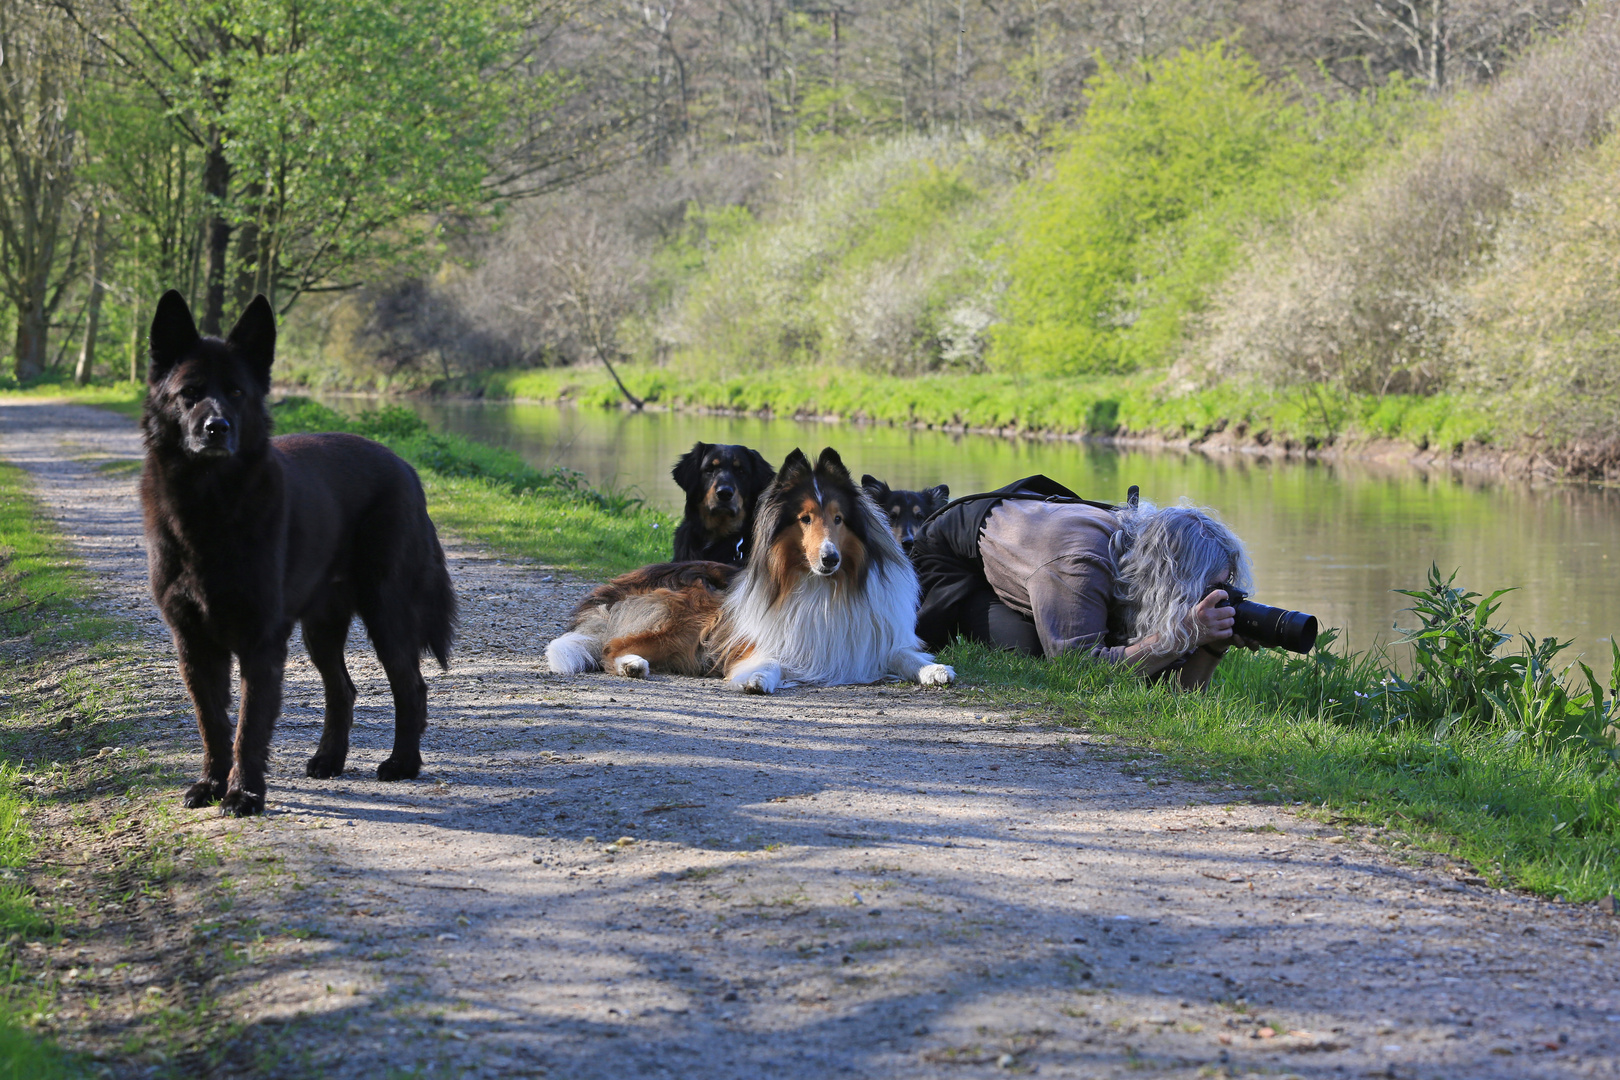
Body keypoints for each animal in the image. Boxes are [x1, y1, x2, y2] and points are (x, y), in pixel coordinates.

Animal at [140, 291, 456, 816]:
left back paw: (402, 763)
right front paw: (210, 785)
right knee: (343, 689)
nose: (216, 427)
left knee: (410, 686)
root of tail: (406, 468)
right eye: (190, 392)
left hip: (386, 611)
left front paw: (243, 793)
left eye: (237, 392)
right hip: (321, 627)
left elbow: (249, 728)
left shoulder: (261, 642)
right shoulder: (194, 643)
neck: (210, 504)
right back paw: (330, 758)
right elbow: (213, 723)